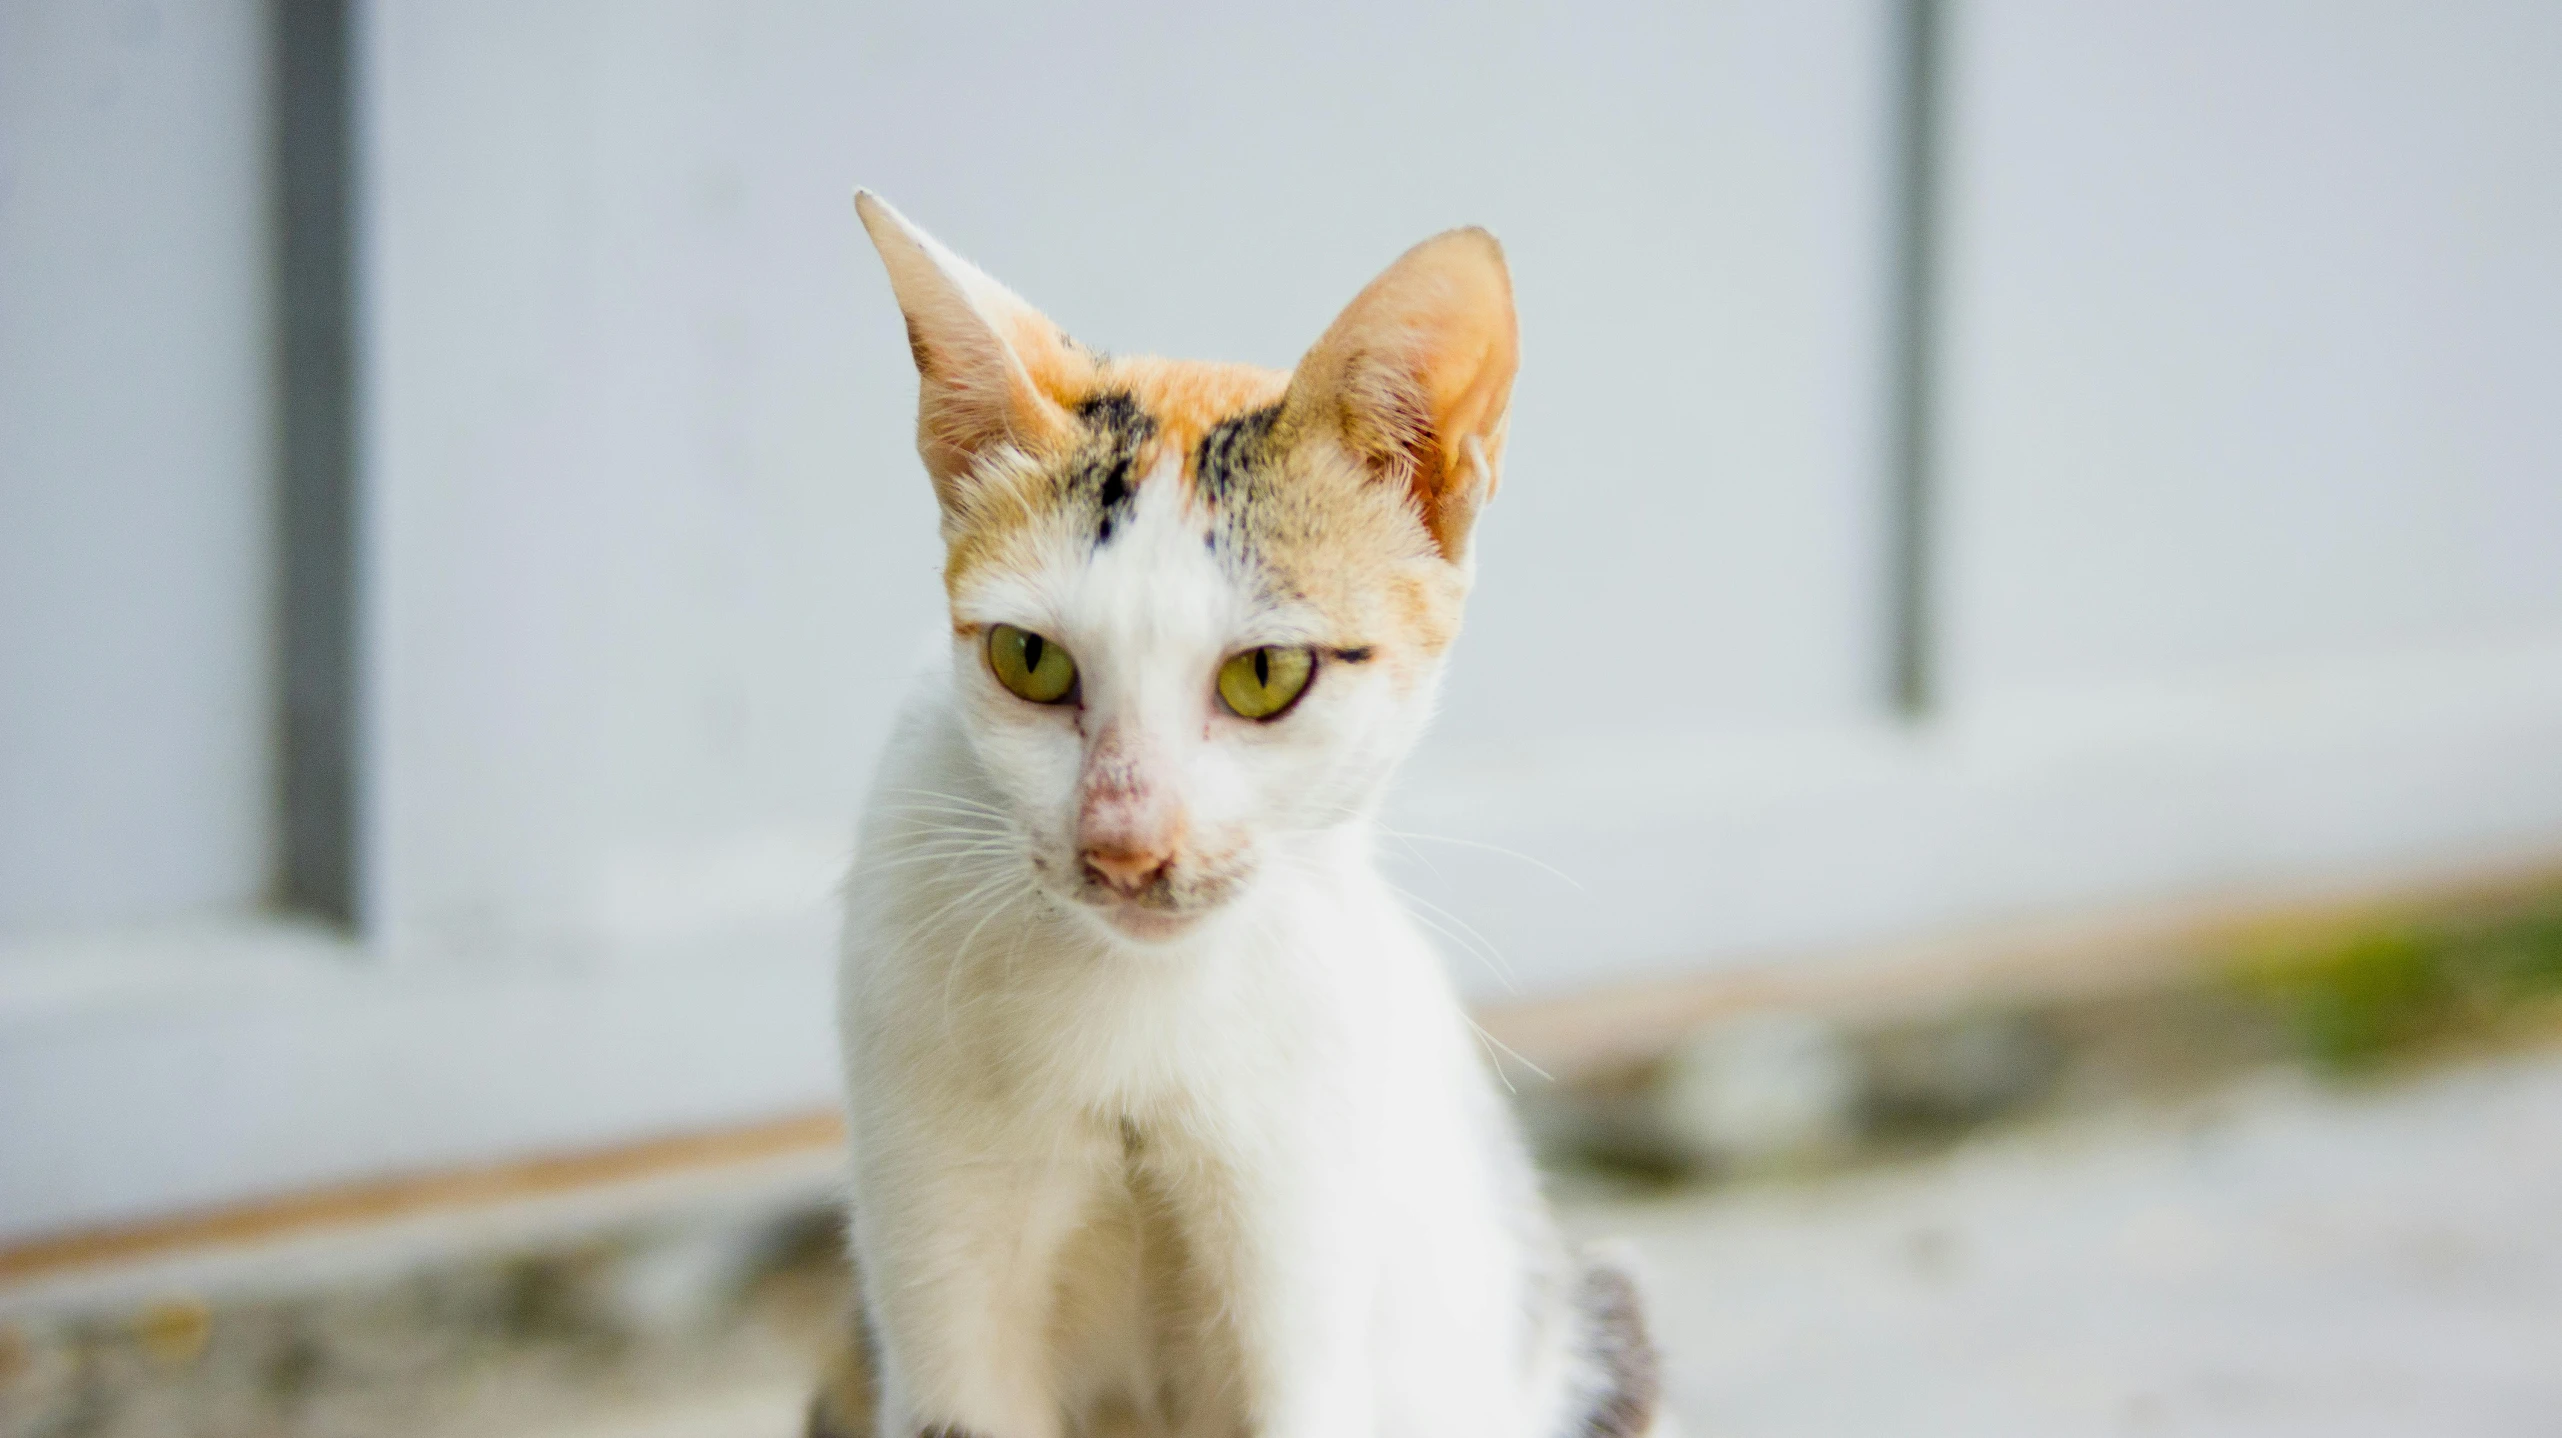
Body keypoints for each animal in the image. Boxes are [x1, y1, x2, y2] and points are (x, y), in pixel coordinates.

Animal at [809, 193, 1670, 1435]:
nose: (1123, 845)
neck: (1135, 1020)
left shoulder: (1299, 1268)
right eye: (1030, 659)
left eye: (1265, 673)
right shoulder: (944, 1311)